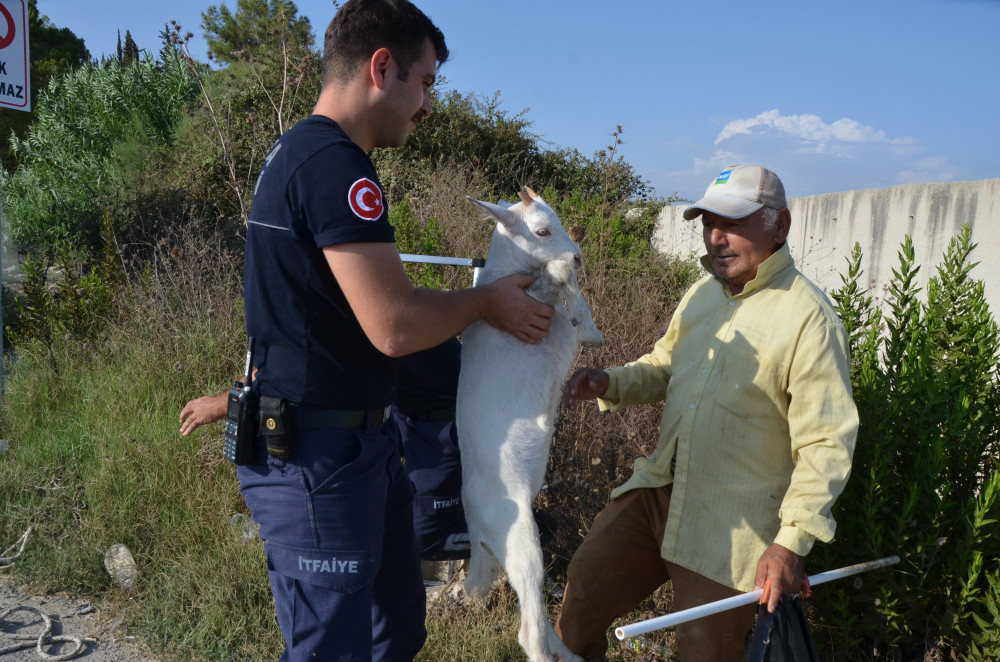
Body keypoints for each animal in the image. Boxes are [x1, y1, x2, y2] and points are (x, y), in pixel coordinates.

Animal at [458, 185, 600, 662]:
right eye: (541, 230)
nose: (578, 255)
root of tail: (475, 528)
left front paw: (589, 323)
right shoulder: (536, 308)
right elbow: (557, 282)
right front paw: (587, 322)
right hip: (521, 539)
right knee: (529, 631)